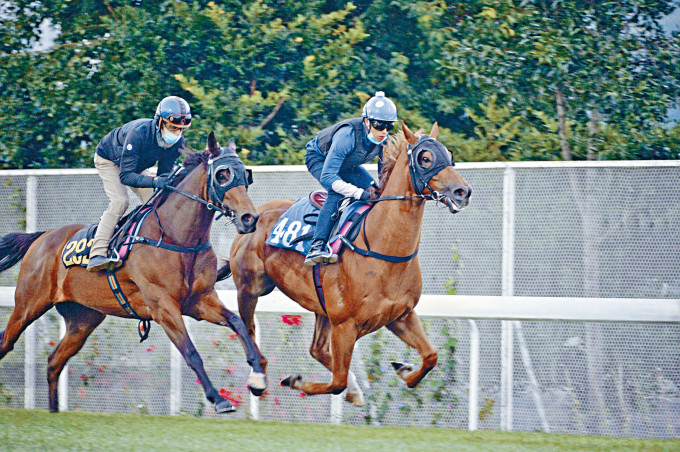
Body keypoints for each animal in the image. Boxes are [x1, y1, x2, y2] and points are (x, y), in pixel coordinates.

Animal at [2, 132, 268, 414]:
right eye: (222, 174)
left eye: (246, 175)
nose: (249, 218)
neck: (176, 236)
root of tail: (41, 237)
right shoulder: (163, 306)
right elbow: (191, 353)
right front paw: (219, 399)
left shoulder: (199, 300)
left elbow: (237, 322)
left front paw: (258, 378)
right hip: (29, 305)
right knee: (7, 342)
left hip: (83, 319)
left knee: (54, 362)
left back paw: (54, 412)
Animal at [226, 121, 470, 402]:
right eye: (425, 158)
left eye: (449, 156)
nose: (463, 192)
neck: (383, 250)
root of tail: (253, 216)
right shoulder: (345, 325)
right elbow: (337, 382)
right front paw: (297, 381)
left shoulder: (400, 315)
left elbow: (431, 356)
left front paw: (404, 370)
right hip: (250, 288)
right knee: (247, 329)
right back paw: (258, 377)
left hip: (321, 307)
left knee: (317, 349)